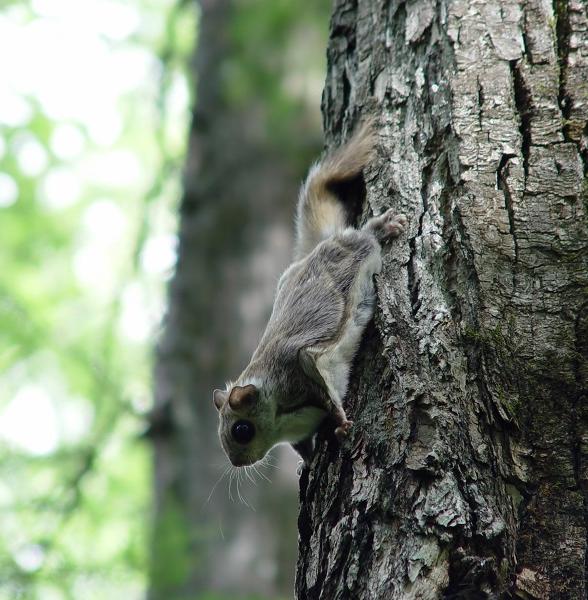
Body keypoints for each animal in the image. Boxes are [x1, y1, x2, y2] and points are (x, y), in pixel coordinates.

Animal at [212, 119, 408, 468]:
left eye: (241, 430)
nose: (236, 463)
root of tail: (321, 244)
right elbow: (303, 444)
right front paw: (308, 458)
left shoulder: (299, 368)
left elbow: (323, 386)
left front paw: (341, 422)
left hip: (355, 249)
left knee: (364, 237)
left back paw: (381, 228)